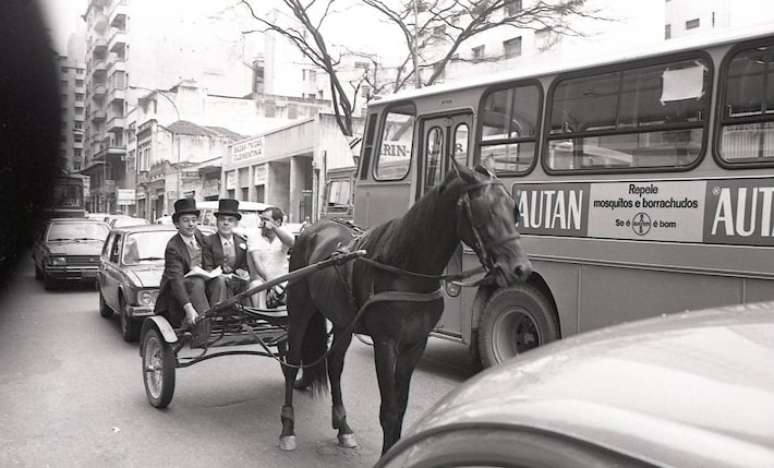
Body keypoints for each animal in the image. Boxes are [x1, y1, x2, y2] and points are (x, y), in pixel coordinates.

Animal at [278, 159, 532, 456]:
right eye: (486, 212)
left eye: (514, 210)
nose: (521, 269)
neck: (407, 270)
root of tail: (310, 230)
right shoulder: (386, 344)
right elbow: (388, 410)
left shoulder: (415, 345)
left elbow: (400, 407)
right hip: (299, 310)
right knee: (292, 363)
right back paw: (287, 429)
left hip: (343, 322)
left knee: (335, 363)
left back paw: (343, 427)